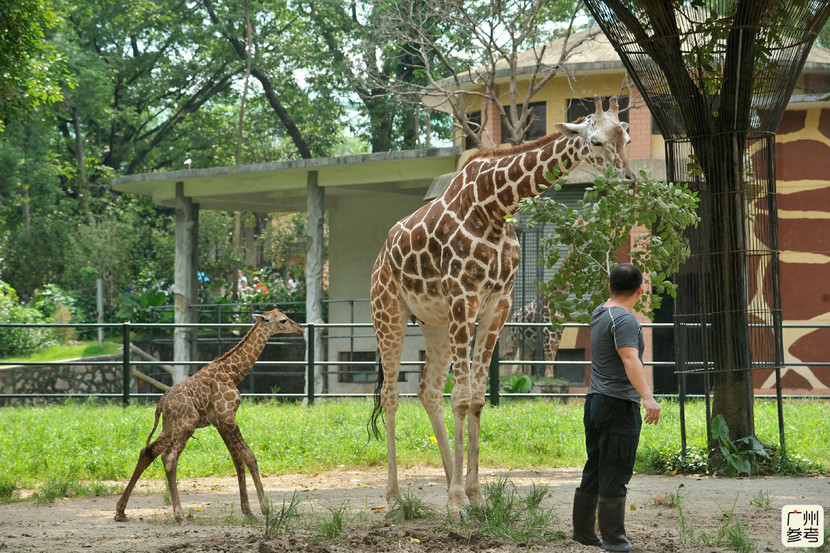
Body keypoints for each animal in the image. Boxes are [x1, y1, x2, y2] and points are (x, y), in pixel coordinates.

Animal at [112, 306, 304, 520]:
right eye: (283, 320)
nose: (301, 328)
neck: (233, 373)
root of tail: (162, 402)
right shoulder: (228, 417)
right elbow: (249, 456)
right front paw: (266, 509)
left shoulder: (220, 422)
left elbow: (237, 459)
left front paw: (247, 510)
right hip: (187, 424)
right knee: (169, 458)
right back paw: (179, 515)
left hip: (170, 427)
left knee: (148, 451)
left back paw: (120, 511)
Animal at [368, 95, 632, 512]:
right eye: (596, 141)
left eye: (627, 138)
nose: (629, 180)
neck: (495, 205)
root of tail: (380, 255)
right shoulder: (465, 294)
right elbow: (462, 398)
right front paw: (458, 499)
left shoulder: (498, 302)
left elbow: (476, 398)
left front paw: (473, 494)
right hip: (388, 313)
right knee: (391, 394)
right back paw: (394, 495)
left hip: (435, 322)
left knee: (428, 390)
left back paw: (449, 479)